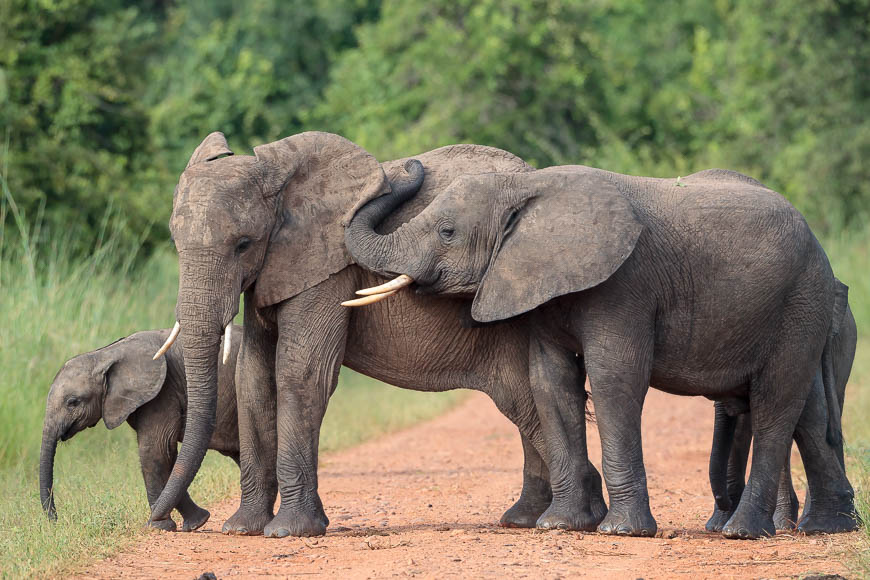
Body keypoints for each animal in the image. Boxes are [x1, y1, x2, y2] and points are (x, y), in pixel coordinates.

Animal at [39, 327, 242, 532]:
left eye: (73, 402)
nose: (56, 521)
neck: (105, 355)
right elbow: (165, 455)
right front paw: (196, 522)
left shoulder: (163, 392)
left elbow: (155, 449)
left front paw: (158, 526)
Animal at [148, 132, 607, 538]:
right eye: (174, 242)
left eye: (244, 244)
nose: (160, 522)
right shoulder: (275, 271)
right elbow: (253, 379)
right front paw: (241, 529)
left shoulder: (327, 268)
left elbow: (300, 373)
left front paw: (289, 532)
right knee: (524, 403)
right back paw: (530, 518)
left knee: (526, 400)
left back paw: (579, 516)